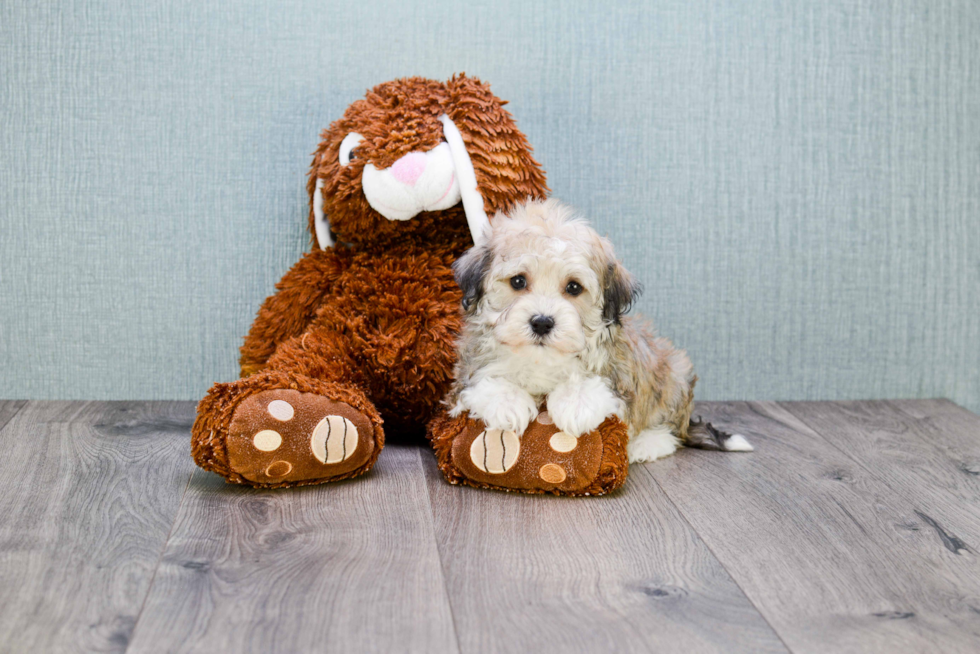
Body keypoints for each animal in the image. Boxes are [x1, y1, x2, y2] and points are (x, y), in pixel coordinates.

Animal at [448, 200, 756, 462]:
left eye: (573, 287)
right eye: (518, 281)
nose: (542, 322)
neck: (541, 359)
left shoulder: (618, 373)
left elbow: (595, 387)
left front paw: (575, 404)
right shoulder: (468, 371)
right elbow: (485, 382)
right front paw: (507, 402)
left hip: (673, 376)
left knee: (669, 428)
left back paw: (647, 444)